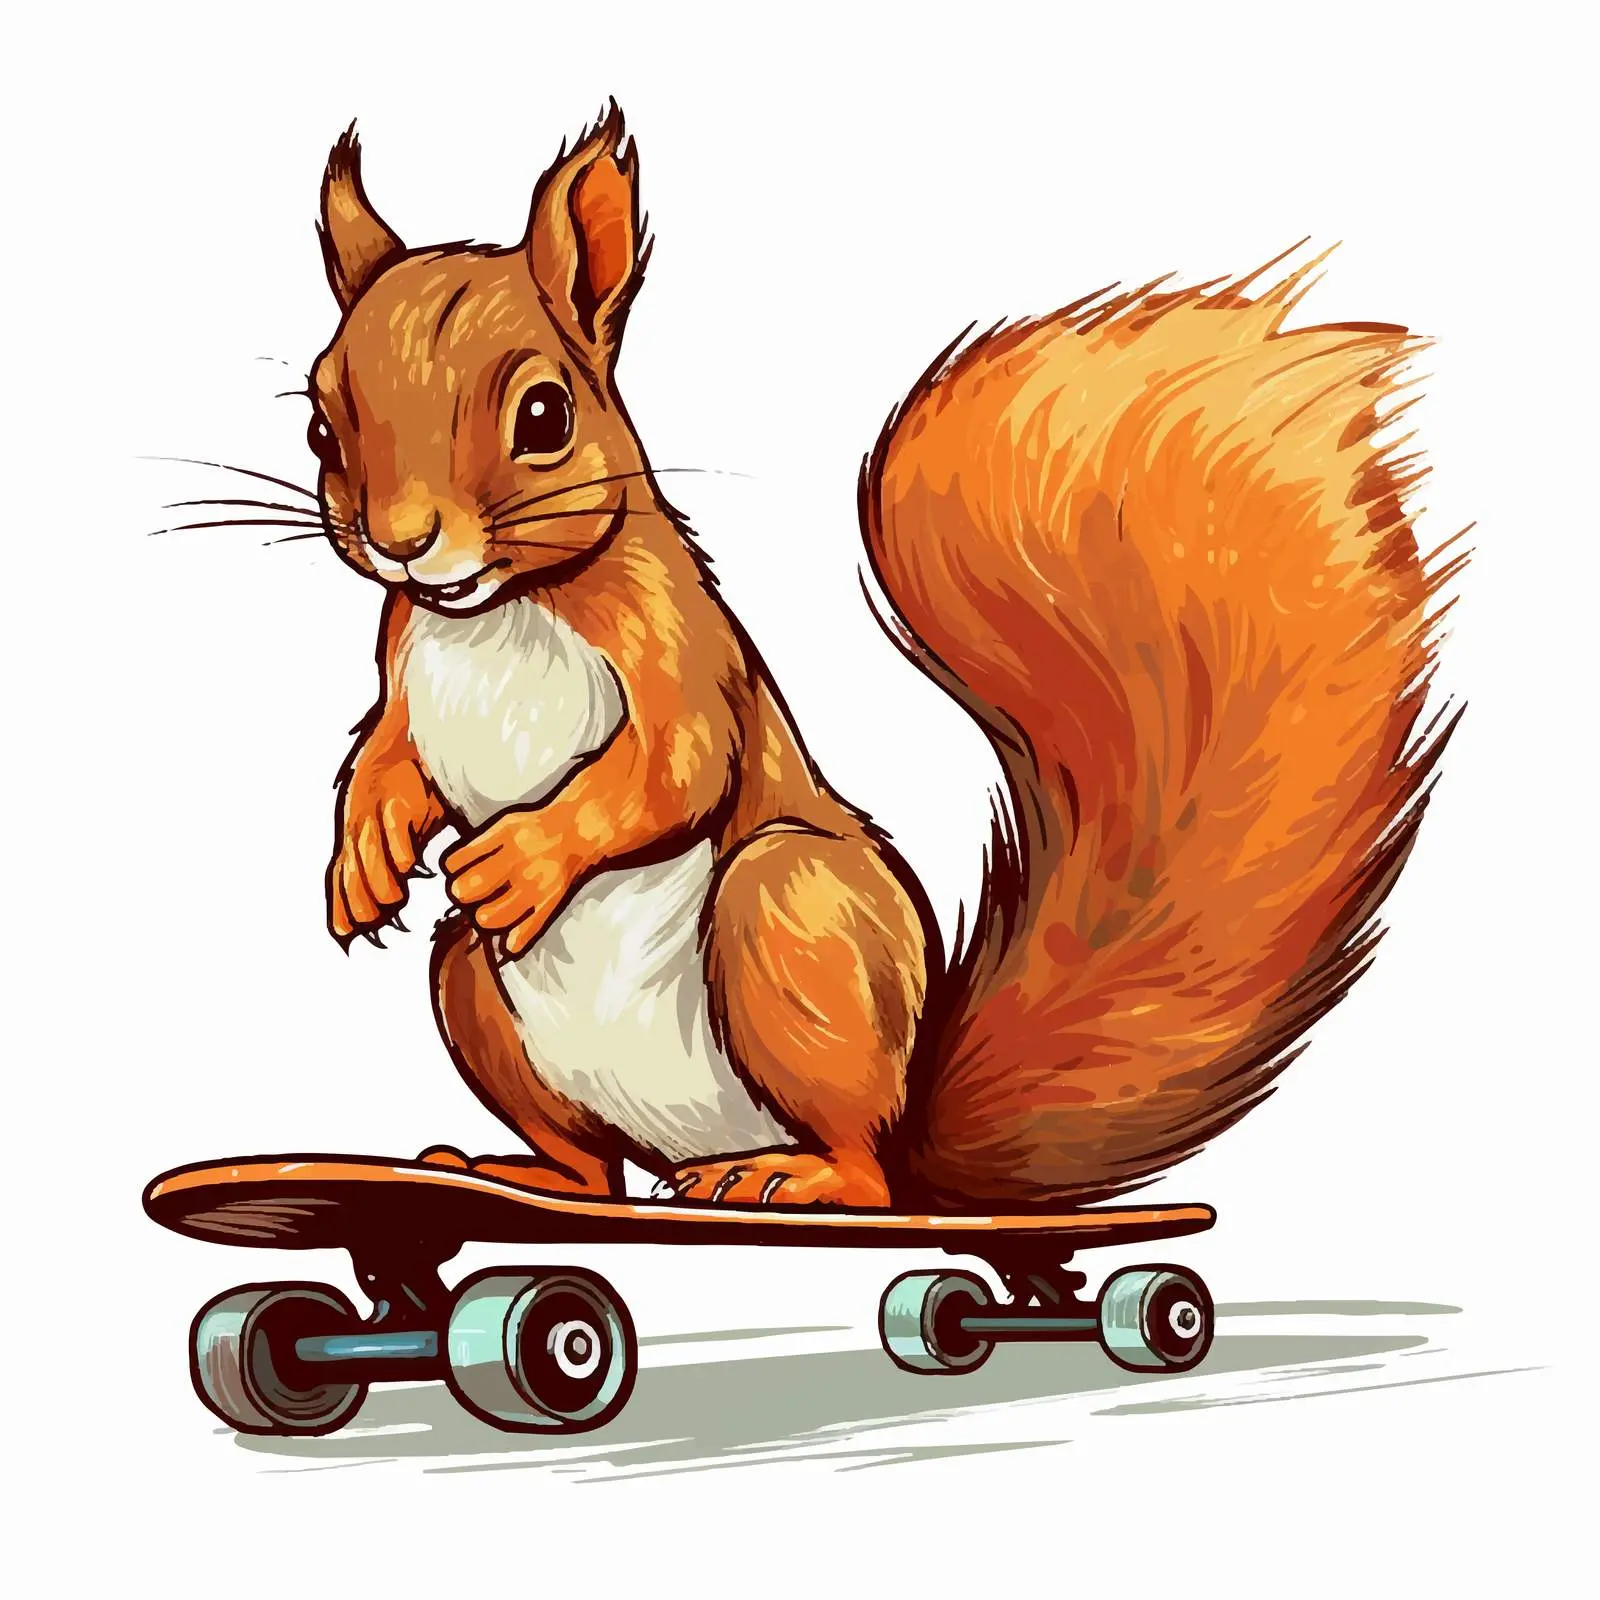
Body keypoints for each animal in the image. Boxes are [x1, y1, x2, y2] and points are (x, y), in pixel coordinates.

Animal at [312, 106, 1457, 1211]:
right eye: (322, 423)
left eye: (544, 415)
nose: (403, 540)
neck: (493, 611)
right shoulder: (401, 669)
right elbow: (391, 755)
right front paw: (362, 854)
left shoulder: (682, 652)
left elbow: (676, 770)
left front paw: (527, 854)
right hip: (474, 982)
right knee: (595, 1163)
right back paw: (527, 1173)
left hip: (790, 907)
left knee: (855, 1158)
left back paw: (793, 1178)